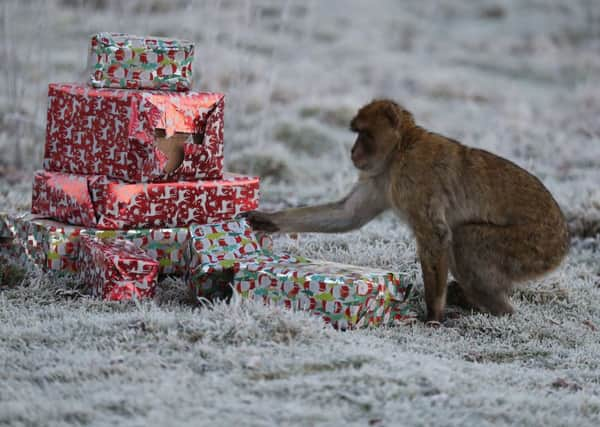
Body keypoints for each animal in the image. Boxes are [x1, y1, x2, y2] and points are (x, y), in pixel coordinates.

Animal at [245, 100, 572, 322]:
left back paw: (499, 311)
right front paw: (267, 220)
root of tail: (564, 241)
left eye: (364, 134)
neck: (400, 149)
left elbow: (436, 234)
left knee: (465, 240)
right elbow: (348, 215)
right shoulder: (380, 178)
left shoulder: (412, 178)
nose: (353, 151)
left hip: (533, 247)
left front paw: (434, 315)